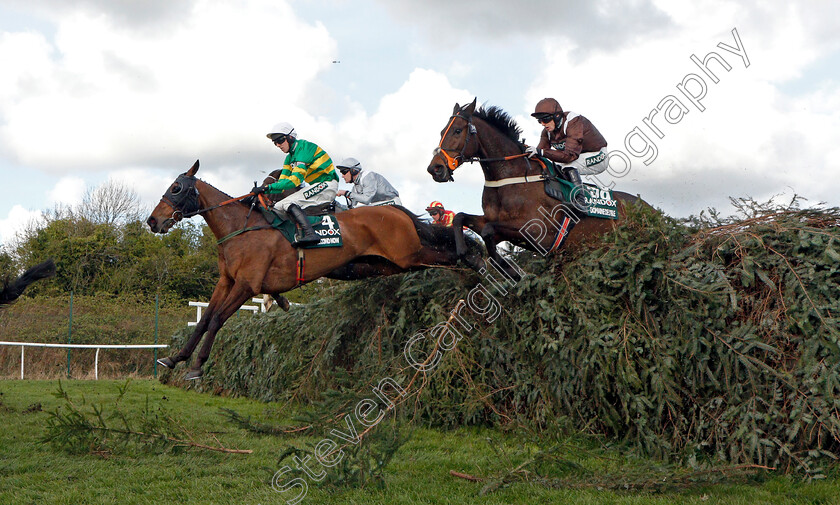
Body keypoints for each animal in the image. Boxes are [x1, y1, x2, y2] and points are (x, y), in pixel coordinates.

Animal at [148, 159, 476, 376]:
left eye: (176, 188)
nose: (153, 221)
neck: (242, 229)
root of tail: (396, 211)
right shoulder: (226, 281)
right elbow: (204, 320)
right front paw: (175, 358)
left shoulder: (246, 286)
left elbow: (217, 320)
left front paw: (197, 366)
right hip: (383, 265)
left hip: (409, 254)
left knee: (449, 253)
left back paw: (476, 263)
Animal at [426, 97, 648, 280]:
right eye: (441, 132)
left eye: (457, 130)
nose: (435, 169)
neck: (510, 177)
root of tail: (647, 207)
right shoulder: (491, 221)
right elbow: (461, 218)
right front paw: (472, 259)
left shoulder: (538, 233)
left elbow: (488, 232)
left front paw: (511, 271)